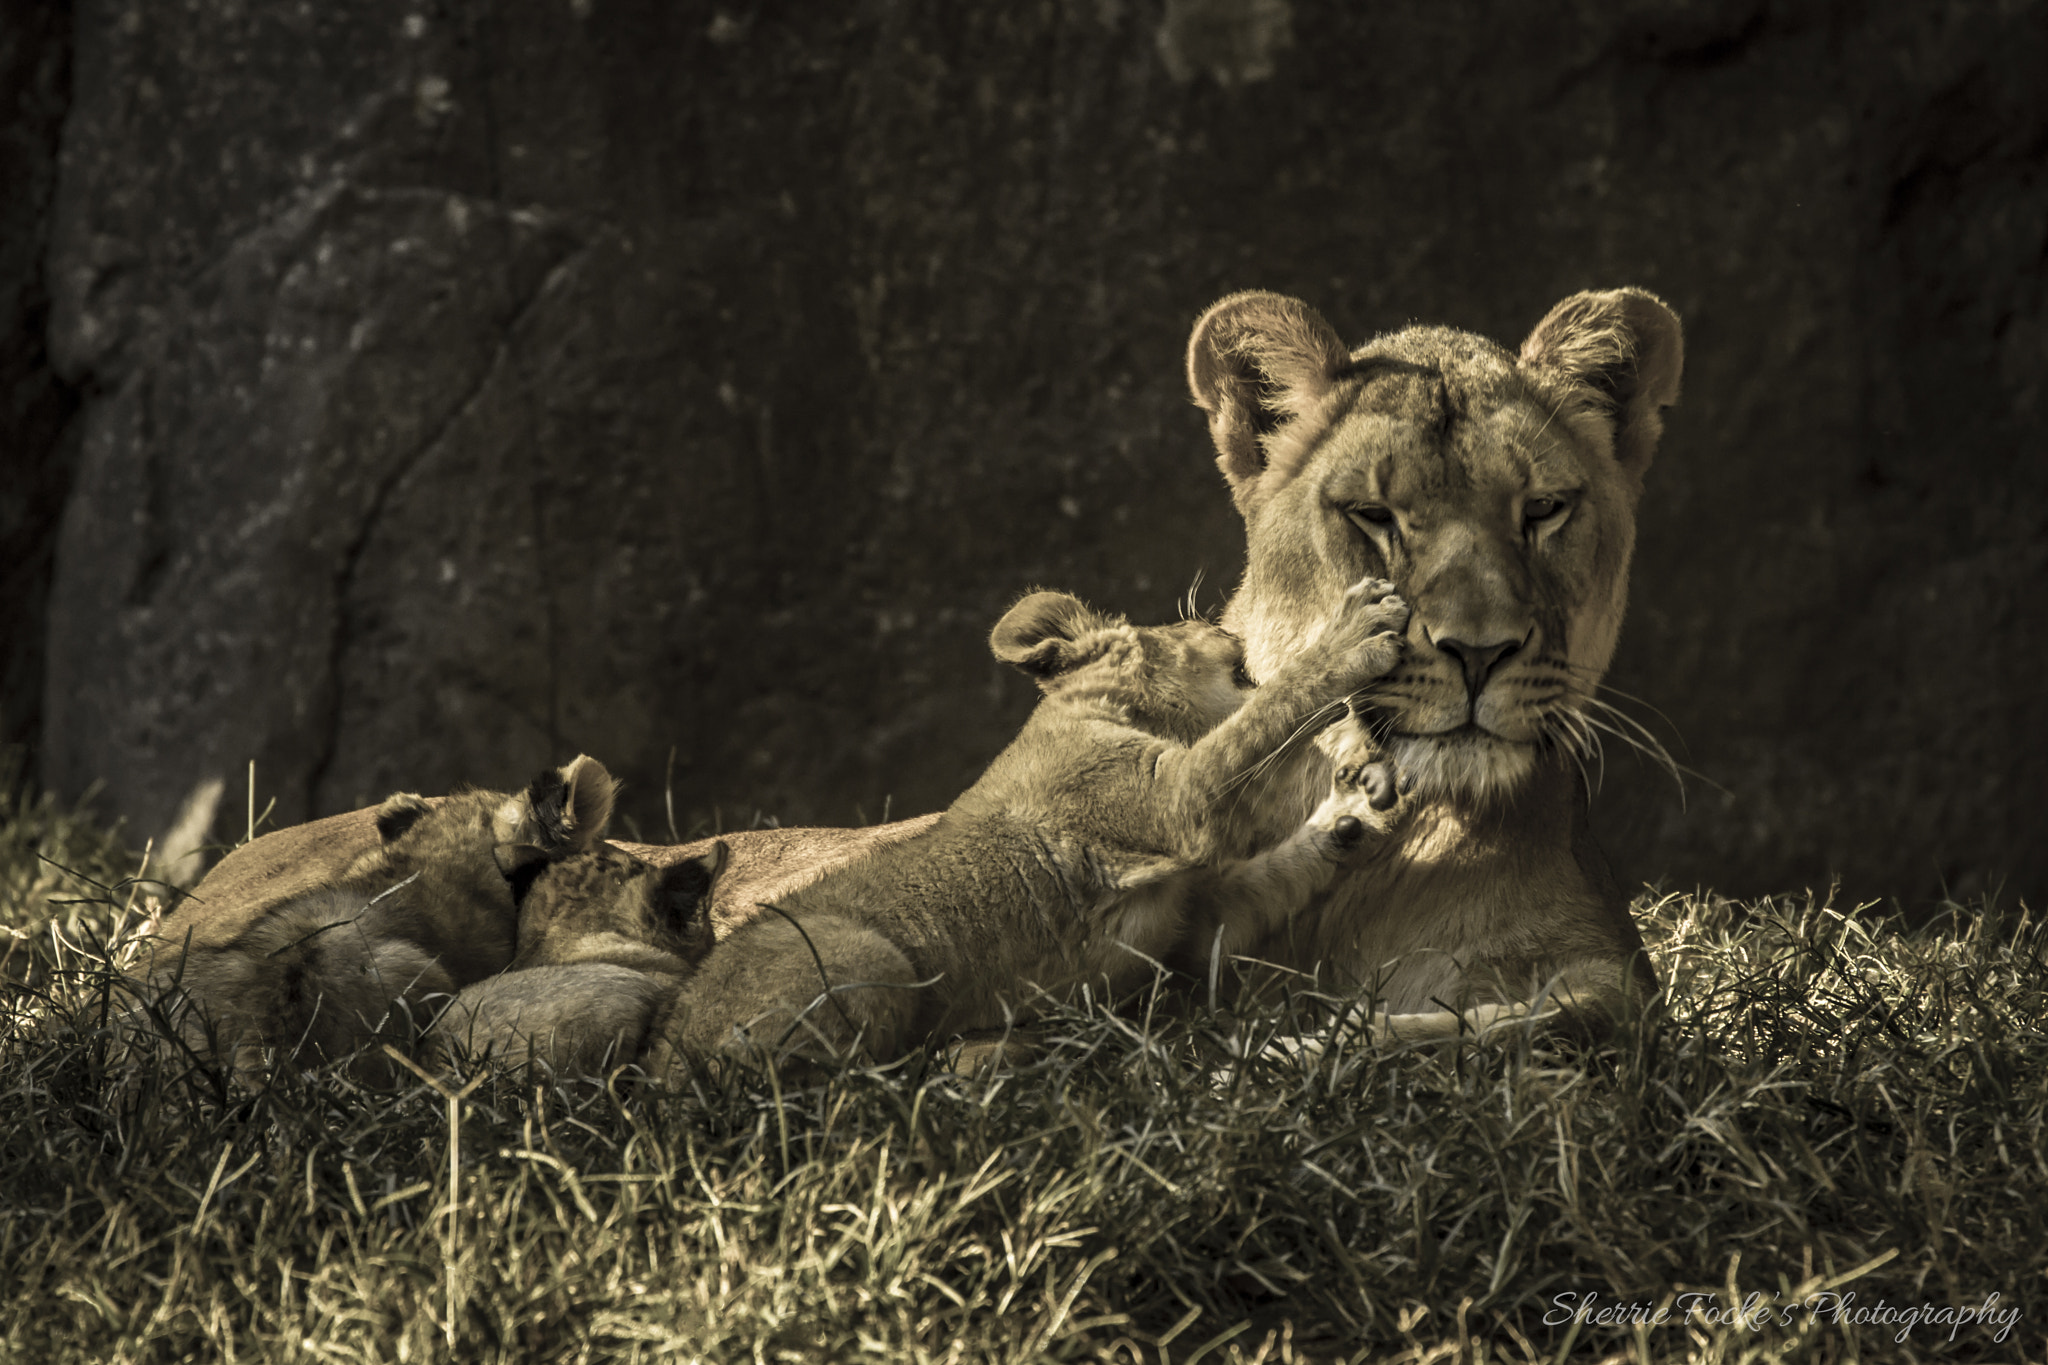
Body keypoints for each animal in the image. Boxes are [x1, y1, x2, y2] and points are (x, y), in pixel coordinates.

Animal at [644, 583, 1413, 1069]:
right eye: (1177, 624)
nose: (1223, 623)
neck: (1112, 709)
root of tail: (662, 1067)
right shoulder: (1172, 801)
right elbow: (1264, 717)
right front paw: (1354, 632)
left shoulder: (1189, 926)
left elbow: (1273, 874)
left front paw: (1358, 810)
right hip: (865, 955)